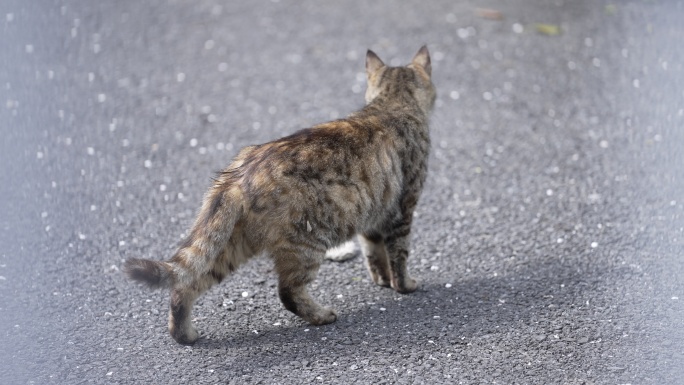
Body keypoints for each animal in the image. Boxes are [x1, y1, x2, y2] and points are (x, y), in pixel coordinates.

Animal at [125, 46, 436, 344]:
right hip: (307, 243)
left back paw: (185, 335)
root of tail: (236, 177)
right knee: (287, 292)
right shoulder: (402, 208)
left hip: (229, 247)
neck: (391, 104)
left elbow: (375, 254)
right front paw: (403, 286)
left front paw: (382, 280)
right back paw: (322, 315)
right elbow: (398, 254)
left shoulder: (374, 216)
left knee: (184, 287)